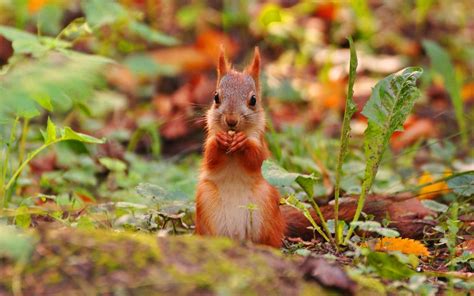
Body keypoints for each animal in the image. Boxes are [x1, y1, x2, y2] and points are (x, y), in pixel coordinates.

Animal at [195, 47, 286, 246]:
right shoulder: (209, 141)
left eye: (253, 100)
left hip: (265, 202)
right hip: (205, 199)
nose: (231, 120)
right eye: (216, 97)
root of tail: (237, 237)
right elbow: (210, 157)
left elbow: (257, 159)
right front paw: (220, 141)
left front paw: (243, 143)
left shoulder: (260, 143)